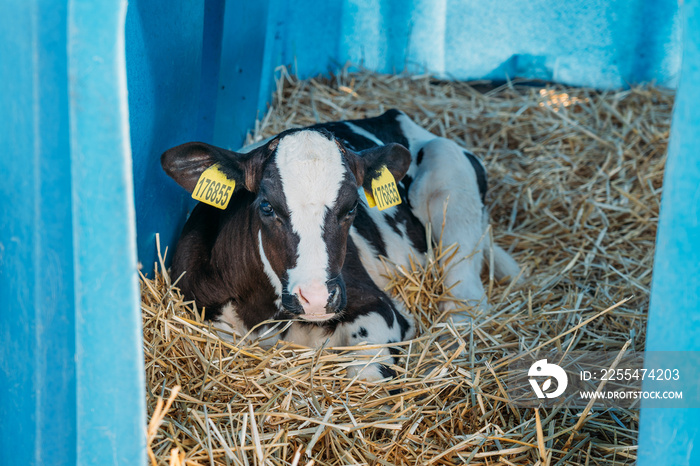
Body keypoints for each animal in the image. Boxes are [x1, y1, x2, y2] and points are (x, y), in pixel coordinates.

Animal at [160, 110, 520, 382]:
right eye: (266, 206)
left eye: (351, 207)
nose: (317, 297)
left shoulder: (378, 307)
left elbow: (366, 375)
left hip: (450, 179)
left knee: (466, 299)